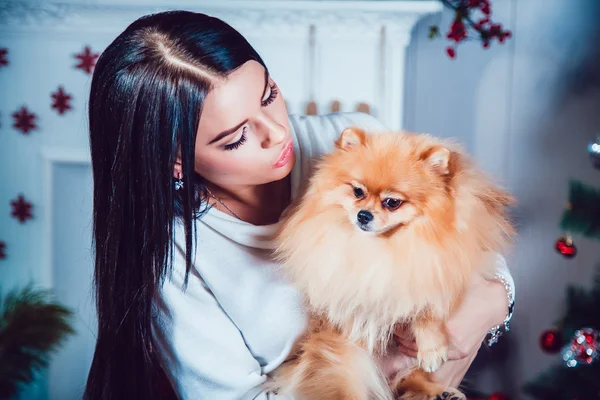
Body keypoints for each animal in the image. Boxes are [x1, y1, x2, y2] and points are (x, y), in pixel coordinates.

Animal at [272, 128, 516, 400]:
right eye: (358, 192)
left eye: (392, 202)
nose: (363, 215)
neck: (388, 245)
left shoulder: (443, 268)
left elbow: (428, 308)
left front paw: (431, 349)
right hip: (345, 358)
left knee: (408, 381)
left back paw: (438, 392)